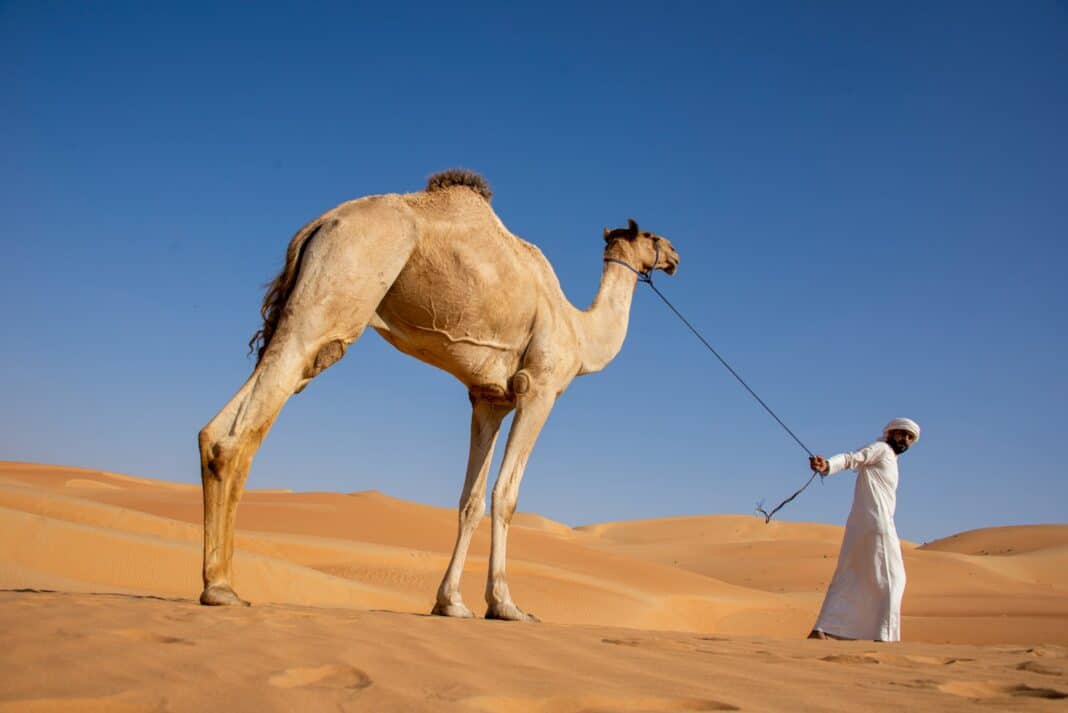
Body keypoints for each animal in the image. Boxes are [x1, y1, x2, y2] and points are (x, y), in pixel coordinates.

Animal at [198, 169, 680, 621]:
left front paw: (451, 602)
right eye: (653, 237)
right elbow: (506, 496)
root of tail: (318, 224)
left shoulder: (489, 399)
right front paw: (506, 605)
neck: (581, 332)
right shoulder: (539, 388)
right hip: (334, 297)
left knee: (219, 427)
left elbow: (470, 501)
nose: (675, 256)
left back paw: (216, 581)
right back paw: (221, 587)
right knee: (243, 429)